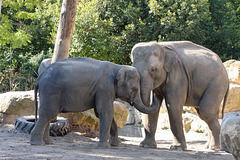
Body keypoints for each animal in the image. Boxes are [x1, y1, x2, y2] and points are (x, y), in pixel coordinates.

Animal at [31, 57, 160, 148]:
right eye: (135, 89)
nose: (155, 95)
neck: (118, 67)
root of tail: (40, 77)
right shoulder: (105, 87)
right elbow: (105, 111)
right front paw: (104, 147)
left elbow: (104, 113)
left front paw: (115, 145)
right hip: (51, 90)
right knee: (48, 114)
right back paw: (37, 144)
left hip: (47, 92)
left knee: (47, 115)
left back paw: (48, 143)